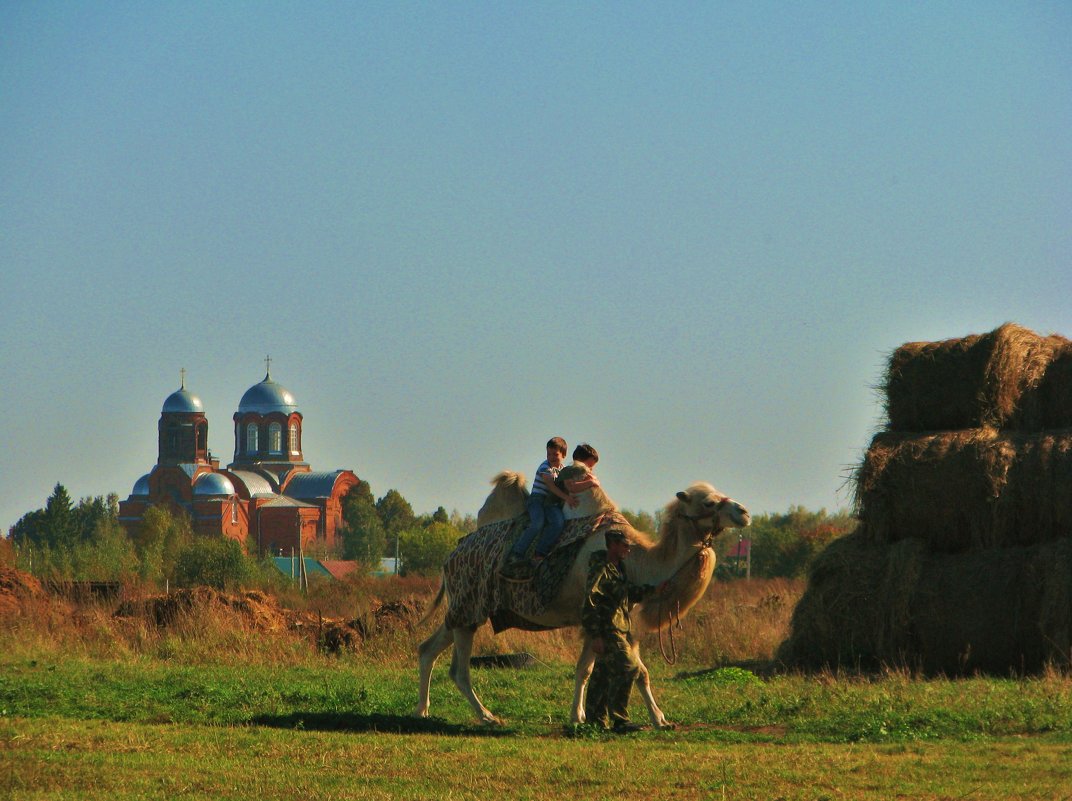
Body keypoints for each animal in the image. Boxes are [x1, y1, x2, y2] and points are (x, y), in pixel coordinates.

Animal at [413, 473, 750, 729]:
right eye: (708, 502)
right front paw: (586, 717)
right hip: (469, 605)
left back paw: (422, 711)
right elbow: (605, 669)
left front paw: (651, 718)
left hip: (462, 610)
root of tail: (450, 556)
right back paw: (487, 716)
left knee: (428, 649)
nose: (744, 512)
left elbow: (616, 670)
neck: (639, 562)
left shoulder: (615, 619)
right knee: (459, 669)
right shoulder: (594, 616)